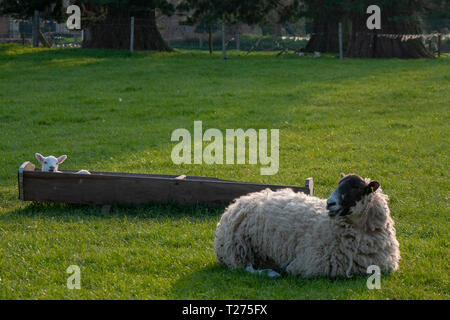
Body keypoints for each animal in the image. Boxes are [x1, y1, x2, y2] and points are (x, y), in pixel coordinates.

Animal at [214, 172, 400, 278]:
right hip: (238, 247)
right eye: (339, 184)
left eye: (356, 187)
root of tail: (237, 203)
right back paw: (272, 273)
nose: (330, 203)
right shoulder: (309, 264)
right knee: (245, 267)